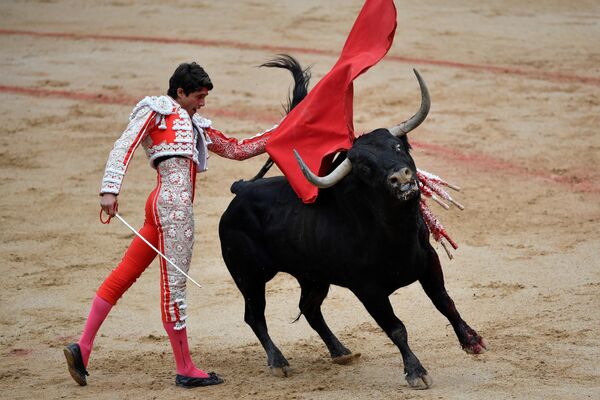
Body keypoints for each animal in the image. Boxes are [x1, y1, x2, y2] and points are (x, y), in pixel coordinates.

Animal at [218, 55, 486, 388]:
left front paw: (471, 341)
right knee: (255, 316)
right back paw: (279, 362)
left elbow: (444, 302)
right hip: (249, 275)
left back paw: (340, 351)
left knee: (309, 309)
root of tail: (240, 191)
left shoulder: (428, 262)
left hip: (312, 276)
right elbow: (396, 327)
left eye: (398, 147)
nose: (401, 177)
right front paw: (415, 371)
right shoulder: (367, 289)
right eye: (365, 167)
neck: (394, 232)